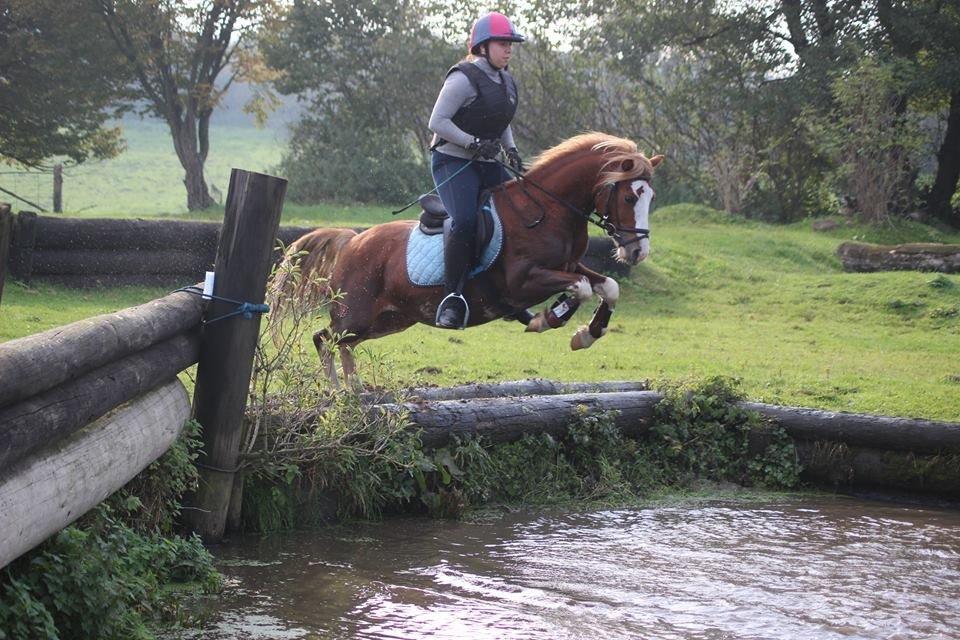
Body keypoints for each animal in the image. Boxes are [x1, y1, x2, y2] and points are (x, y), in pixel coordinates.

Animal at [270, 131, 660, 384]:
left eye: (651, 198)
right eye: (629, 197)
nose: (637, 251)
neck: (545, 210)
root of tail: (353, 240)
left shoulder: (567, 266)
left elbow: (608, 286)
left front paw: (587, 334)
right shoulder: (522, 281)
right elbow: (581, 288)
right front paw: (549, 318)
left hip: (390, 319)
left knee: (342, 344)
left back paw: (356, 392)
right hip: (356, 313)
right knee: (324, 339)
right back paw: (339, 392)